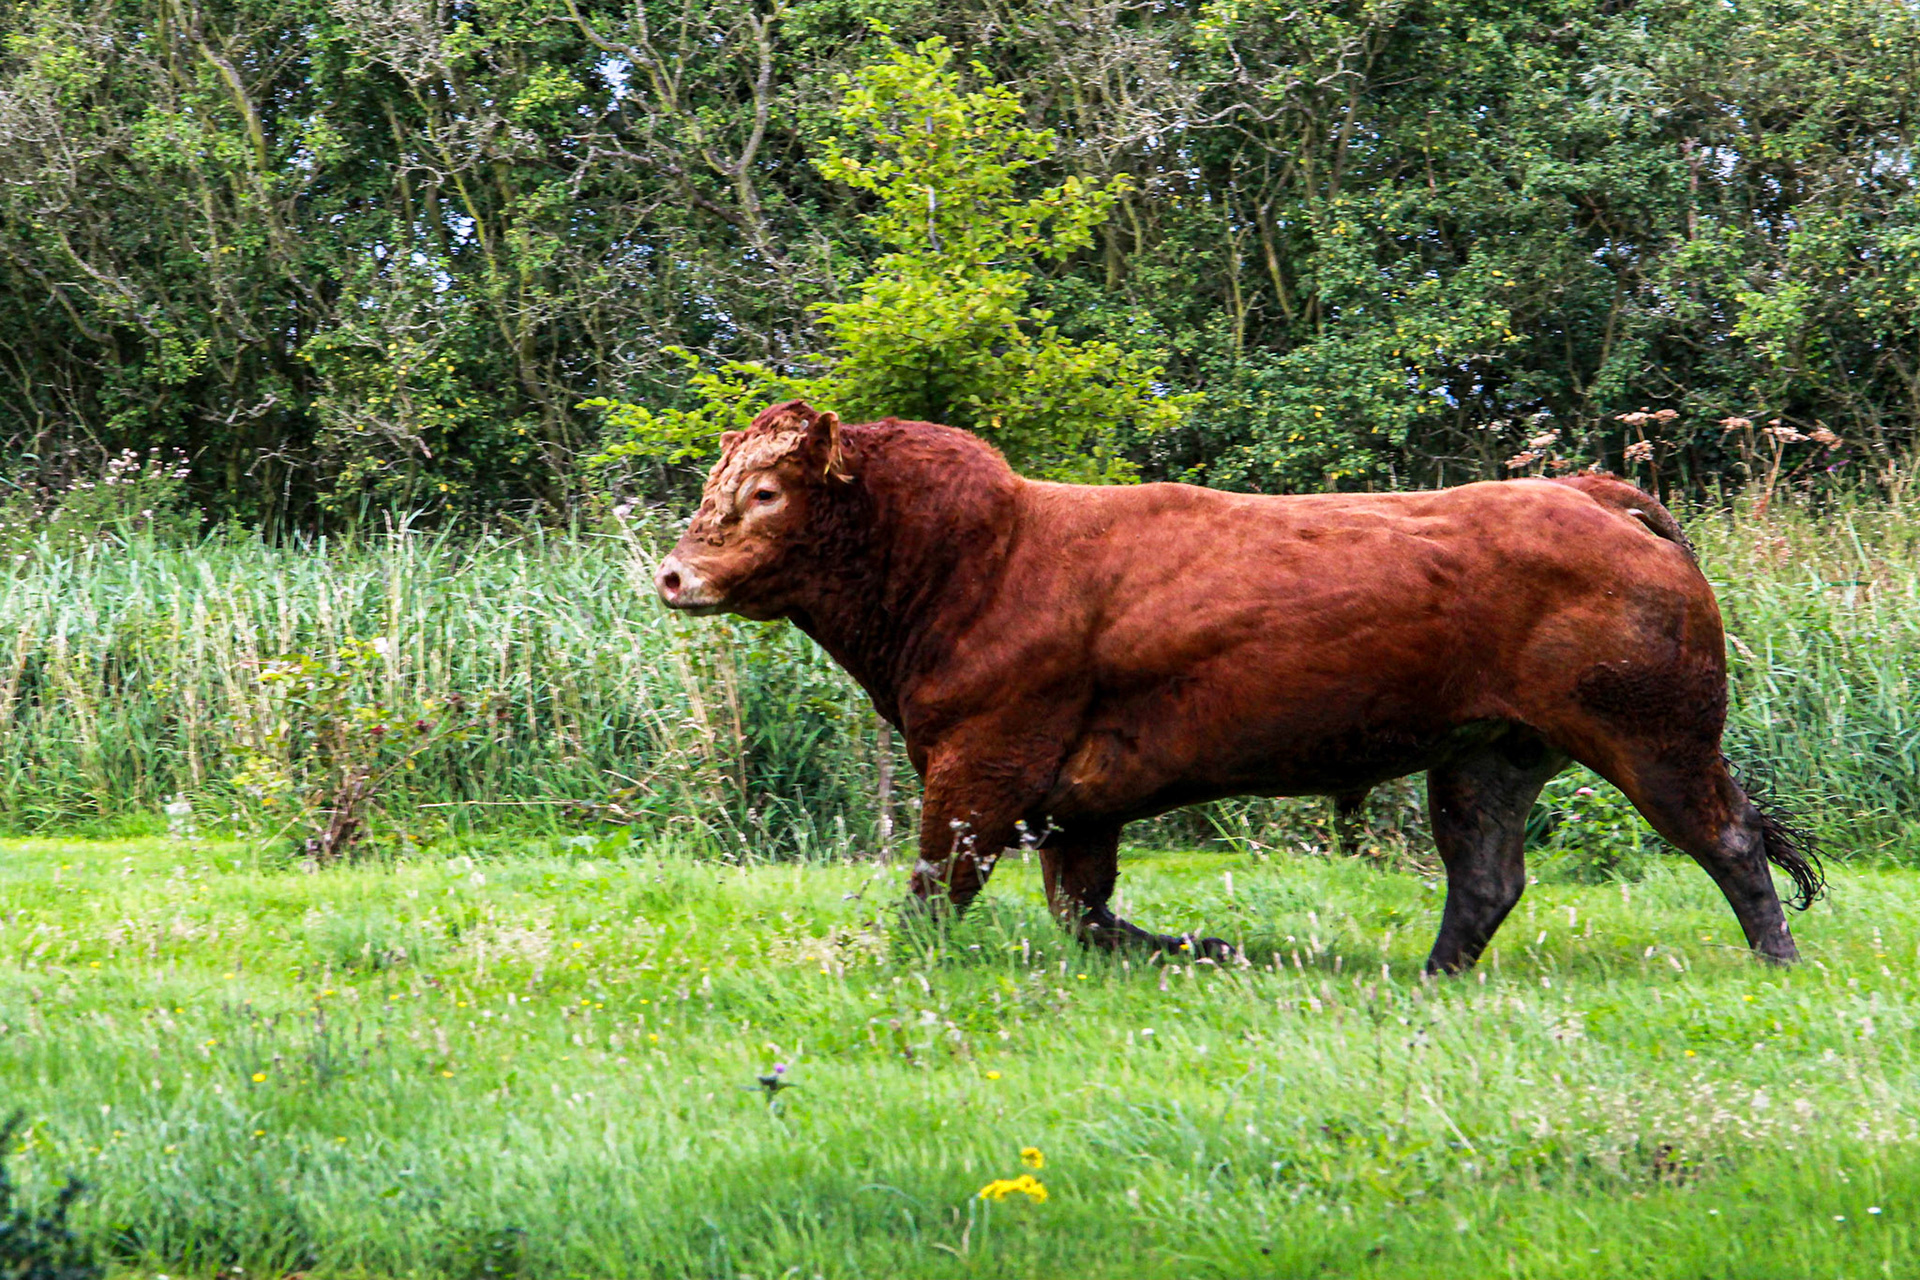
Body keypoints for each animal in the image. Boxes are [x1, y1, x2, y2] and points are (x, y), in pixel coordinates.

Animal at [654, 400, 1821, 972]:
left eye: (764, 491)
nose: (672, 572)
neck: (975, 559)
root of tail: (1592, 492)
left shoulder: (983, 766)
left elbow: (937, 891)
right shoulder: (1075, 803)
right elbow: (1086, 912)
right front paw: (1205, 948)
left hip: (1654, 737)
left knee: (1729, 839)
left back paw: (1778, 960)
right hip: (1486, 753)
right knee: (1486, 876)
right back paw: (1426, 976)